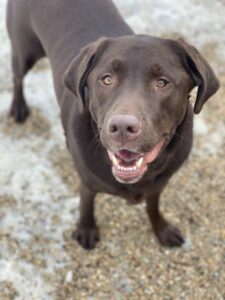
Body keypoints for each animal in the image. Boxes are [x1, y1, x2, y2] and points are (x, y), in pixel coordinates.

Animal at [7, 0, 220, 248]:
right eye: (106, 79)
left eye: (162, 82)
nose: (122, 127)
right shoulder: (87, 182)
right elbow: (86, 205)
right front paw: (86, 230)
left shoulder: (159, 184)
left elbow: (153, 205)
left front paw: (162, 229)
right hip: (24, 50)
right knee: (17, 76)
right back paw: (19, 107)